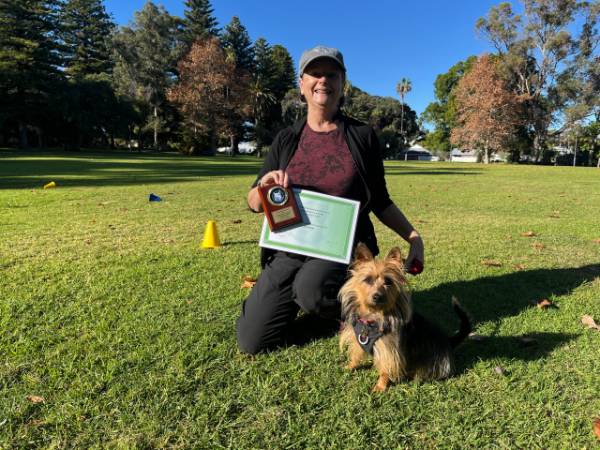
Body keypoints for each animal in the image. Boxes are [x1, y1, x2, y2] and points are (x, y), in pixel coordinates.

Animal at [339, 243, 471, 392]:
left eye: (388, 281)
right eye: (368, 280)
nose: (378, 296)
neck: (373, 317)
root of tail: (448, 341)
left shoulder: (390, 350)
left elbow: (385, 369)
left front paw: (380, 386)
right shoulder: (358, 340)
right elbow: (356, 354)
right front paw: (350, 366)